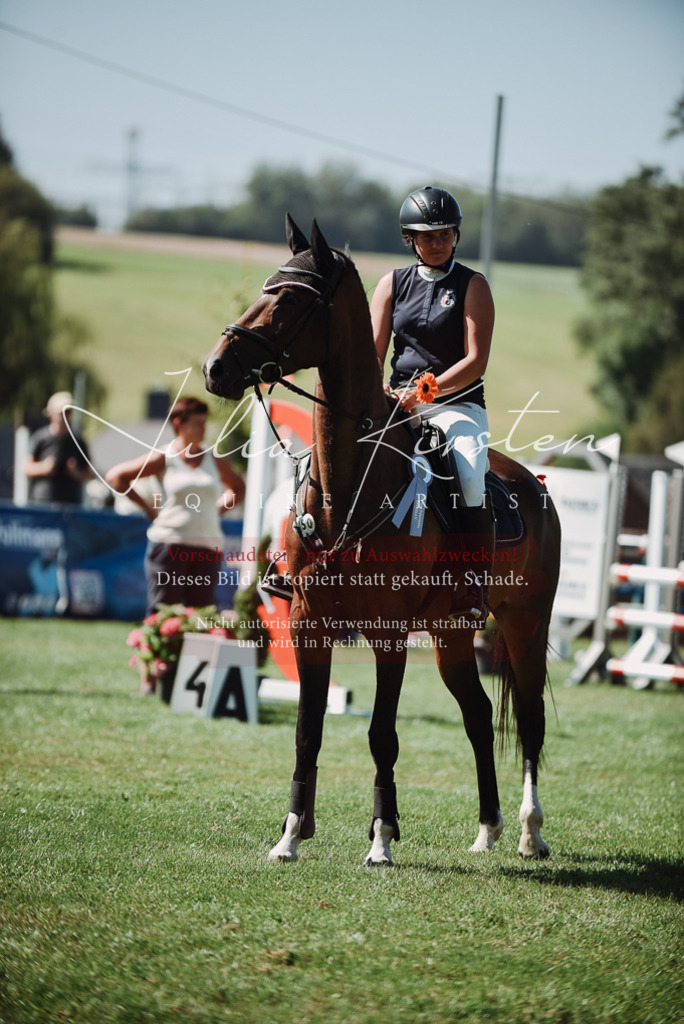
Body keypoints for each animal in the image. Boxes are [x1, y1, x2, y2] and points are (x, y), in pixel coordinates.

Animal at [203, 216, 561, 866]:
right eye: (267, 286)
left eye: (288, 299)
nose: (216, 367)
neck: (349, 488)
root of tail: (532, 482)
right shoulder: (309, 623)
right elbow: (308, 730)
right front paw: (291, 835)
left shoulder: (389, 633)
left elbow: (381, 734)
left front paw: (381, 840)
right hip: (451, 634)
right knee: (477, 716)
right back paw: (487, 828)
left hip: (525, 622)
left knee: (527, 719)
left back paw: (530, 831)